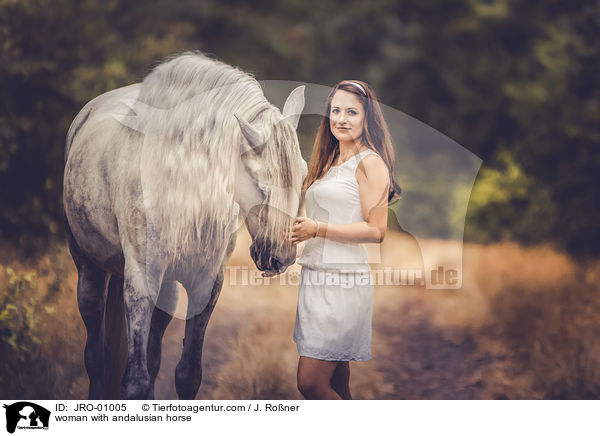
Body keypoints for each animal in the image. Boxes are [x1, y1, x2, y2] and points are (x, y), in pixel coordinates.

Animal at [63, 51, 308, 398]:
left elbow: (187, 374)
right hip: (88, 269)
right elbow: (135, 380)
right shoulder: (140, 281)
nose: (281, 257)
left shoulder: (206, 283)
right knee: (96, 358)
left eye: (303, 176)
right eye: (262, 188)